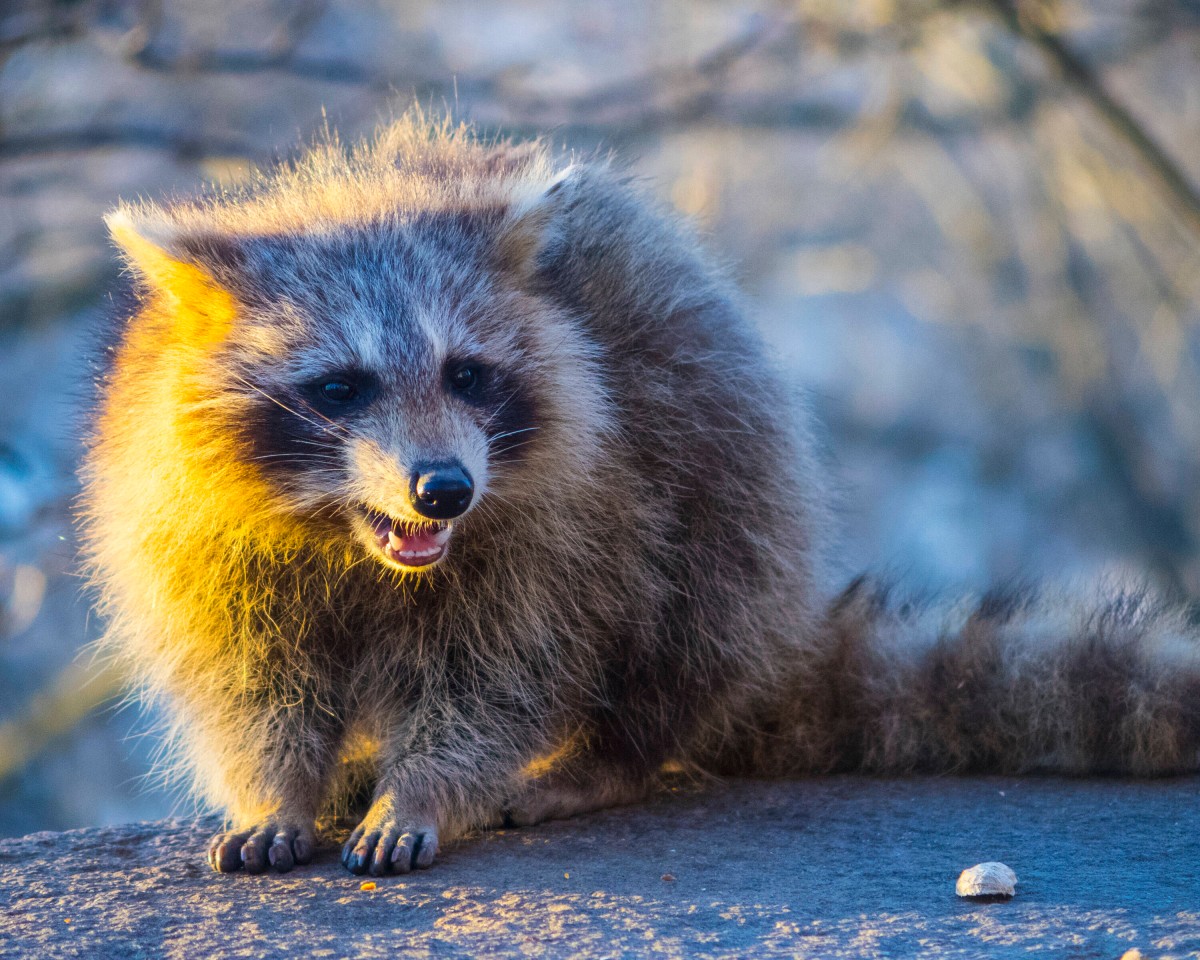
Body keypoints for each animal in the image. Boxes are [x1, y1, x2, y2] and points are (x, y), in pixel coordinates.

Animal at [84, 112, 1200, 878]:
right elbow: (249, 681)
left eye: (467, 374)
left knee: (681, 617)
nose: (444, 490)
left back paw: (606, 758)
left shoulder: (560, 518)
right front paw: (278, 790)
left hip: (727, 483)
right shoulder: (194, 533)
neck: (350, 537)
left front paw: (427, 790)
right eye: (340, 388)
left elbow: (498, 672)